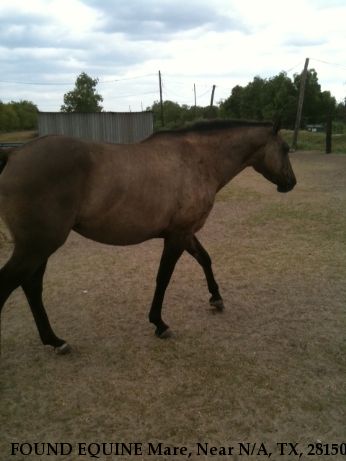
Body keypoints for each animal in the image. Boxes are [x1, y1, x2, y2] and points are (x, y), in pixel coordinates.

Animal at [0, 118, 296, 352]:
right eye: (284, 149)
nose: (291, 183)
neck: (198, 160)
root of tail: (15, 155)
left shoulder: (184, 232)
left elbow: (205, 259)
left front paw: (216, 298)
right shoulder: (177, 236)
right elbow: (163, 277)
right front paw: (159, 323)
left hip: (40, 247)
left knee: (32, 286)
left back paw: (54, 340)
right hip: (38, 245)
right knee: (12, 284)